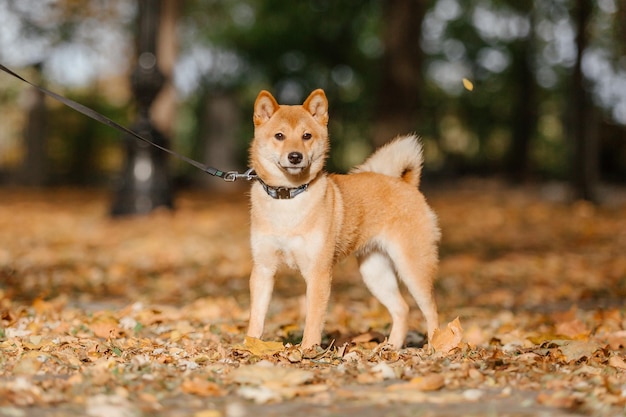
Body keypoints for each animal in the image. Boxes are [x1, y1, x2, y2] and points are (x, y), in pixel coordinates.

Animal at [245, 90, 438, 348]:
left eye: (306, 136)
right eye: (279, 135)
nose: (295, 156)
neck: (288, 199)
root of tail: (406, 184)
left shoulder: (318, 272)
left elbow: (313, 319)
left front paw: (308, 350)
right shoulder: (264, 269)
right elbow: (256, 316)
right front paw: (249, 346)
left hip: (412, 267)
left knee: (431, 309)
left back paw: (439, 345)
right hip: (375, 272)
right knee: (402, 309)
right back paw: (393, 347)